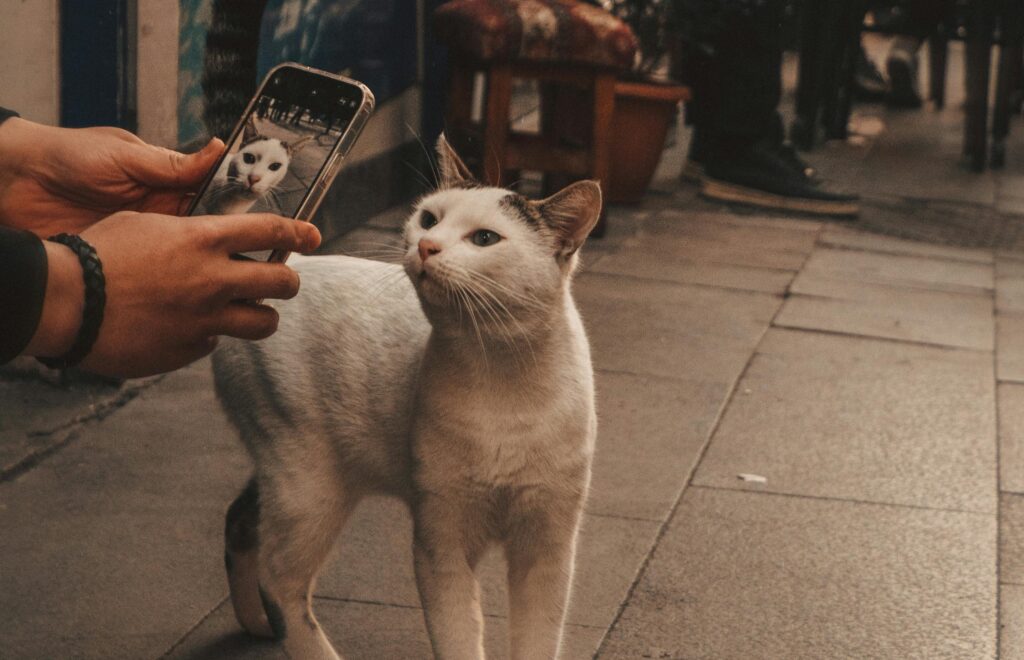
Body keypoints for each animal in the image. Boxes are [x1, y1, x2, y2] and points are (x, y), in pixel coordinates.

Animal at [214, 136, 598, 654]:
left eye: (484, 239)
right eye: (430, 219)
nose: (426, 245)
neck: (500, 379)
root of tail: (283, 266)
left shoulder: (548, 547)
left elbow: (538, 641)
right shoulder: (441, 542)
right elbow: (458, 639)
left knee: (240, 523)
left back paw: (255, 624)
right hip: (308, 480)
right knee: (279, 580)